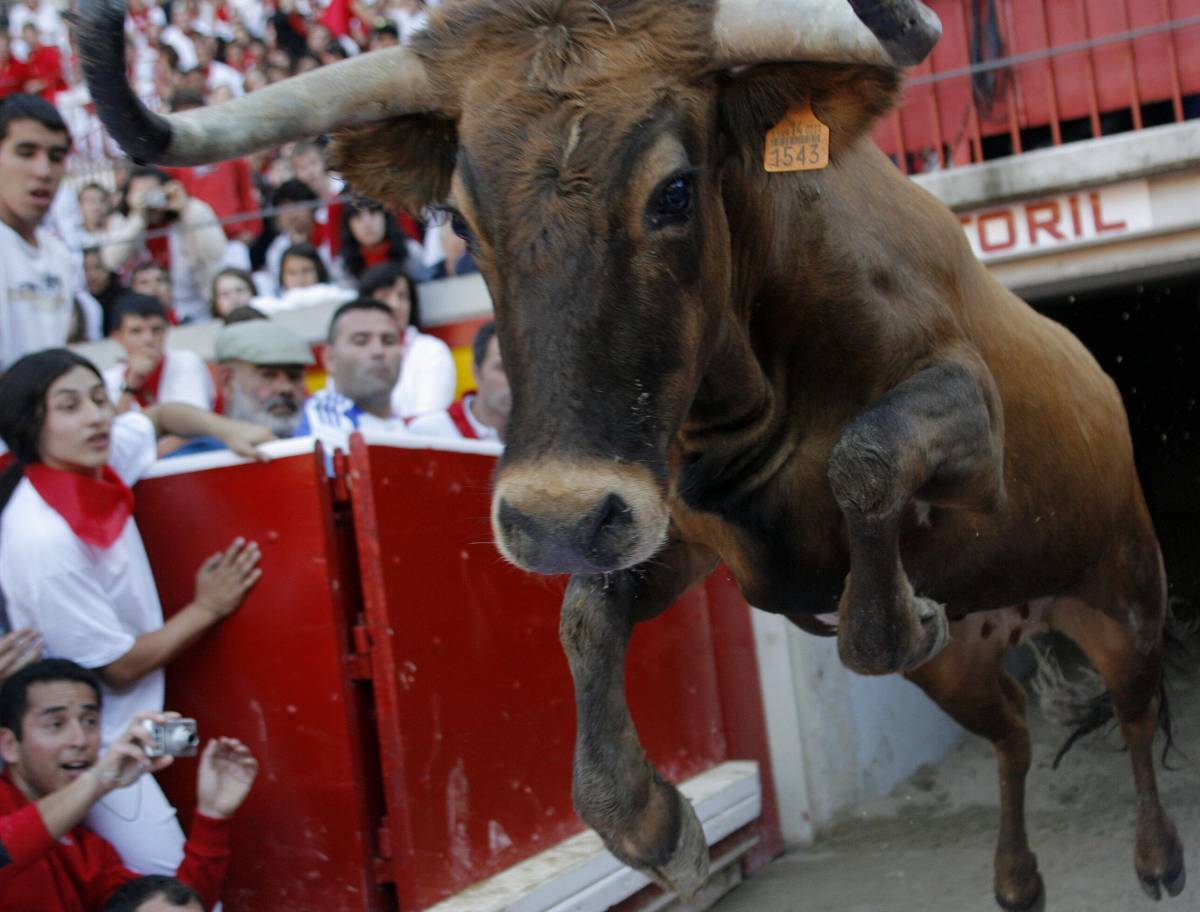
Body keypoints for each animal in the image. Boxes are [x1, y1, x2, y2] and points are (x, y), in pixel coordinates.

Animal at [77, 0, 1190, 907]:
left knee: (1138, 717)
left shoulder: (971, 425)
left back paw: (1158, 857)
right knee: (1011, 729)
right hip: (967, 668)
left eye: (676, 191)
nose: (553, 519)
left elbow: (866, 460)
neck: (747, 391)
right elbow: (585, 616)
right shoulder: (681, 535)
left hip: (1125, 593)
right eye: (462, 219)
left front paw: (895, 610)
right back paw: (1017, 879)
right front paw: (654, 821)